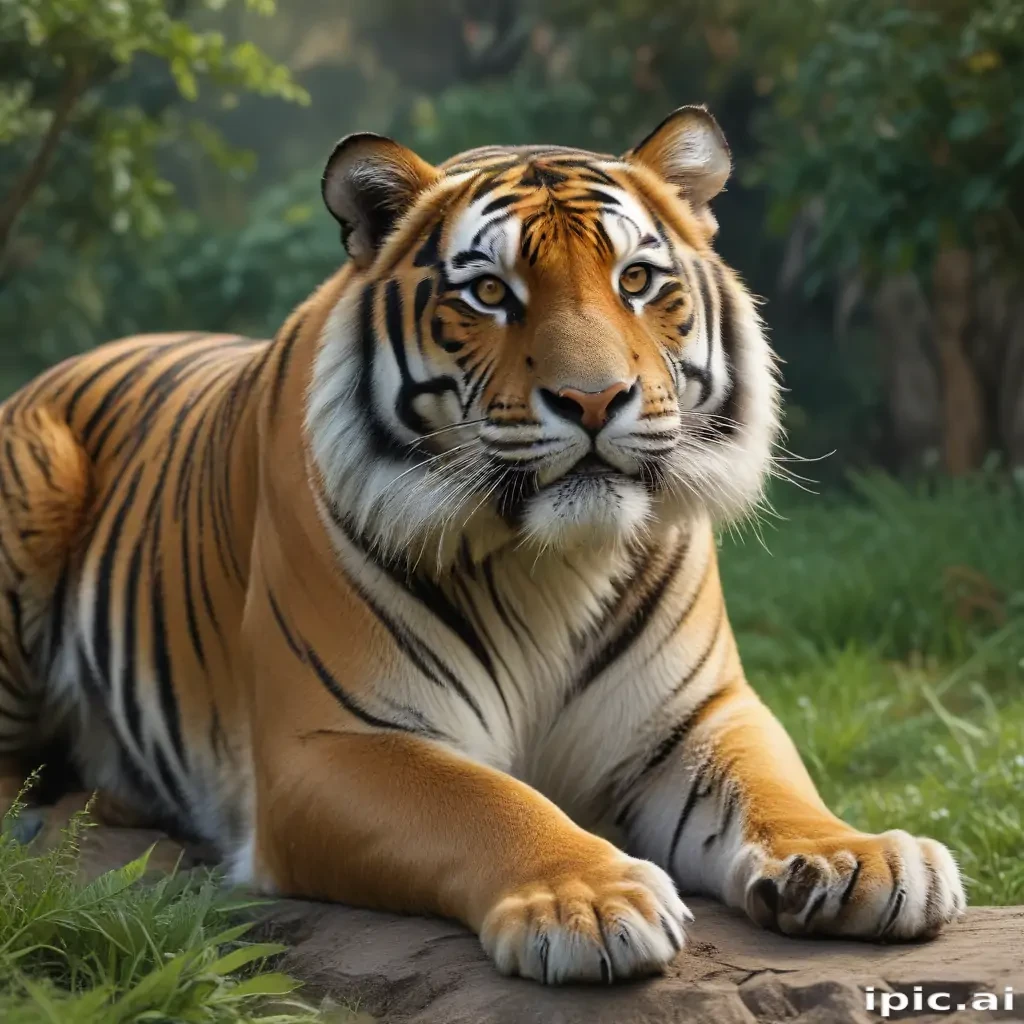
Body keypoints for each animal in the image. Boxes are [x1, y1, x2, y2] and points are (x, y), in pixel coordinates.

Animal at [0, 106, 964, 984]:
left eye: (637, 279)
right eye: (491, 293)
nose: (594, 398)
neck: (553, 564)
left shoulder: (696, 714)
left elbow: (775, 786)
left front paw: (853, 857)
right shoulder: (331, 742)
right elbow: (482, 801)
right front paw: (588, 901)